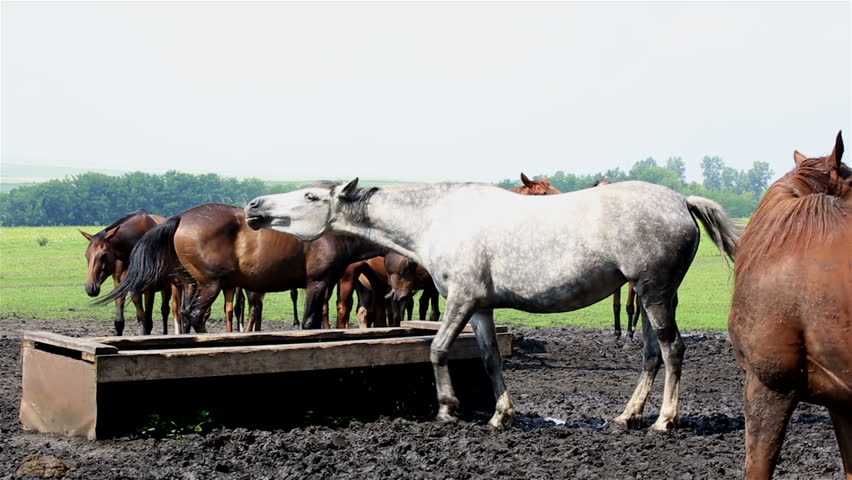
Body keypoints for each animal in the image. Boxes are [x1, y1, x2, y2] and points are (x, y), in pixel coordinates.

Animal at [100, 203, 382, 333]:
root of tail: (180, 218)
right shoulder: (317, 282)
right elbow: (310, 321)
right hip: (209, 283)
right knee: (194, 314)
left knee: (188, 313)